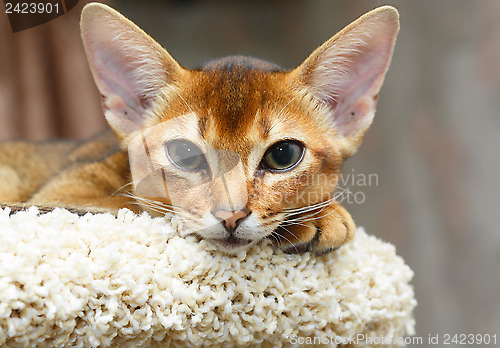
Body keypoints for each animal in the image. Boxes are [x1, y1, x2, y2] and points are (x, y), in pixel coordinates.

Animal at [0, 3, 398, 256]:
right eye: (184, 154)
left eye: (283, 155)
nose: (231, 216)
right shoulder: (64, 195)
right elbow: (135, 208)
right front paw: (319, 218)